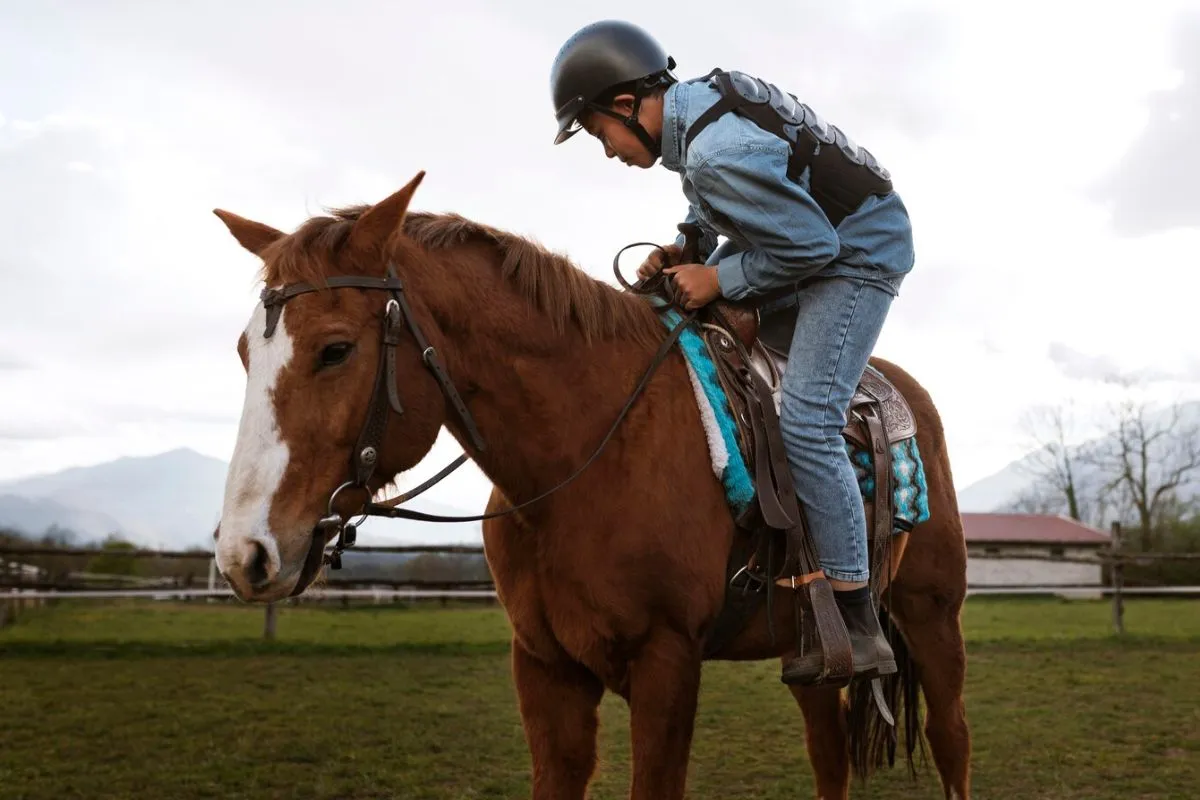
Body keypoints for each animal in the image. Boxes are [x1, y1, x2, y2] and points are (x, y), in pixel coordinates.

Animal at [211, 175, 969, 800]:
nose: (244, 554)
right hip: (809, 651)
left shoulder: (667, 663)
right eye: (245, 353)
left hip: (932, 616)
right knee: (829, 752)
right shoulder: (546, 669)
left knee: (951, 742)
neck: (586, 456)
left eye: (336, 349)